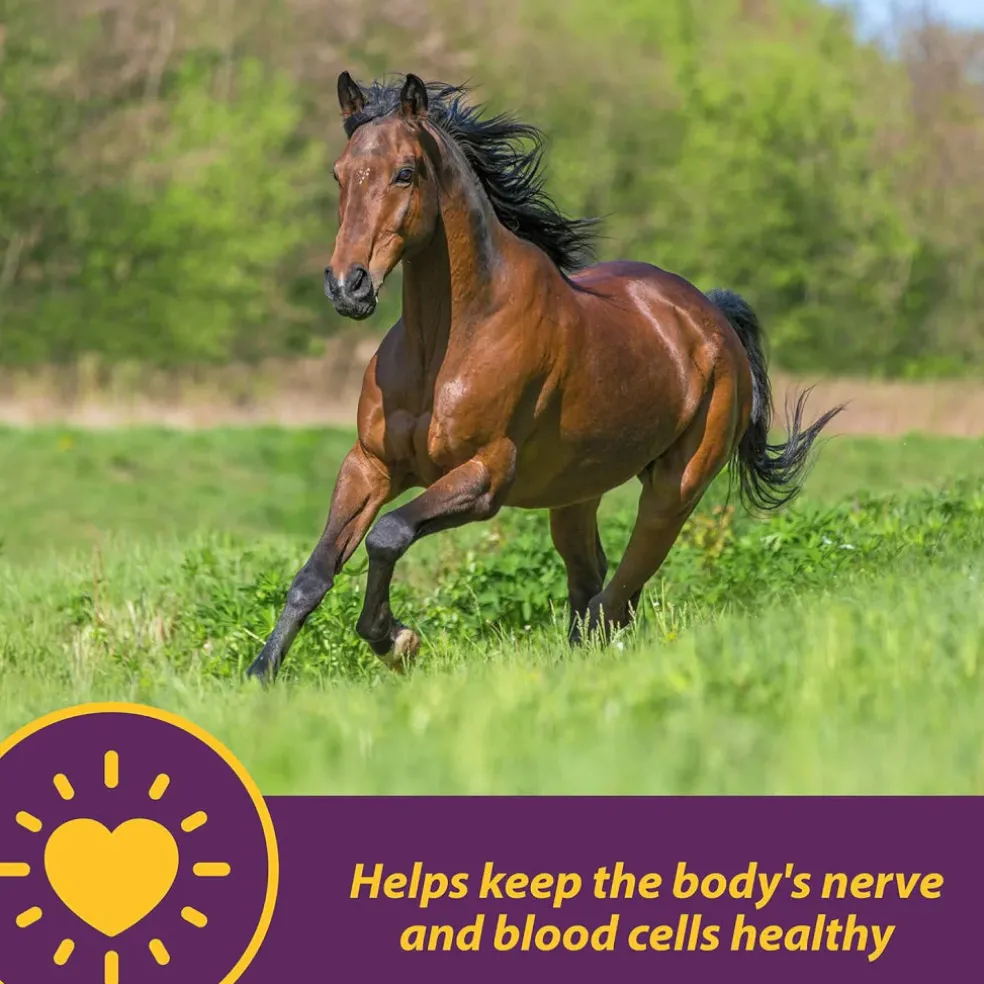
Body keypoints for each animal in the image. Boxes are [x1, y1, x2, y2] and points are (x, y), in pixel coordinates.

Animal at [246, 71, 843, 681]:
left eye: (405, 172)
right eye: (340, 173)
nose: (349, 286)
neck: (445, 345)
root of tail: (712, 316)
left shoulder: (485, 477)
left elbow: (388, 535)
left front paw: (397, 640)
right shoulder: (370, 465)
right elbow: (314, 573)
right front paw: (261, 673)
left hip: (675, 489)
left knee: (619, 594)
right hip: (576, 493)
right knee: (591, 580)